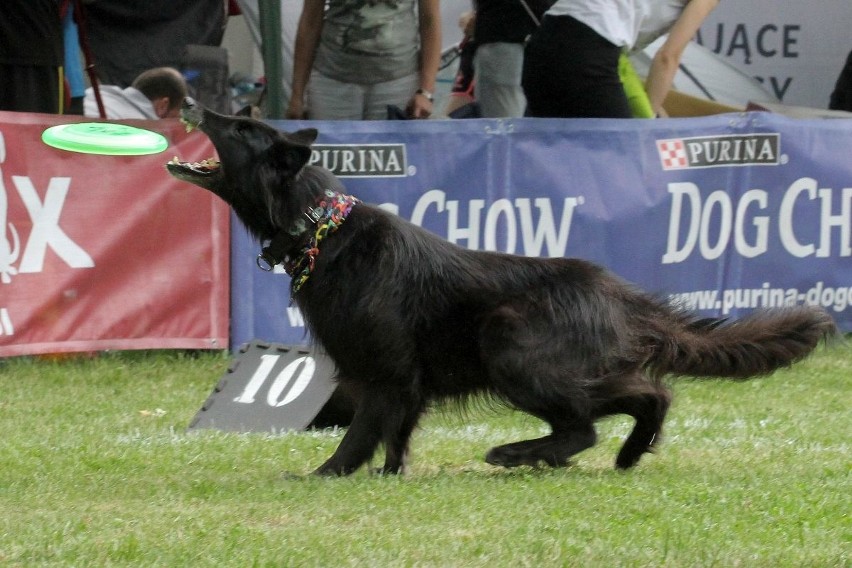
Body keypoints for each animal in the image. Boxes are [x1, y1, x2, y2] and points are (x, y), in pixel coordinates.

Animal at [168, 100, 840, 478]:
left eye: (240, 128)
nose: (195, 104)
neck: (319, 224)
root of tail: (612, 289)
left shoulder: (383, 372)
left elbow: (362, 432)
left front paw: (326, 474)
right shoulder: (400, 383)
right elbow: (395, 439)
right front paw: (389, 476)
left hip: (510, 347)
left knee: (590, 423)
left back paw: (518, 455)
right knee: (647, 395)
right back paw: (626, 457)